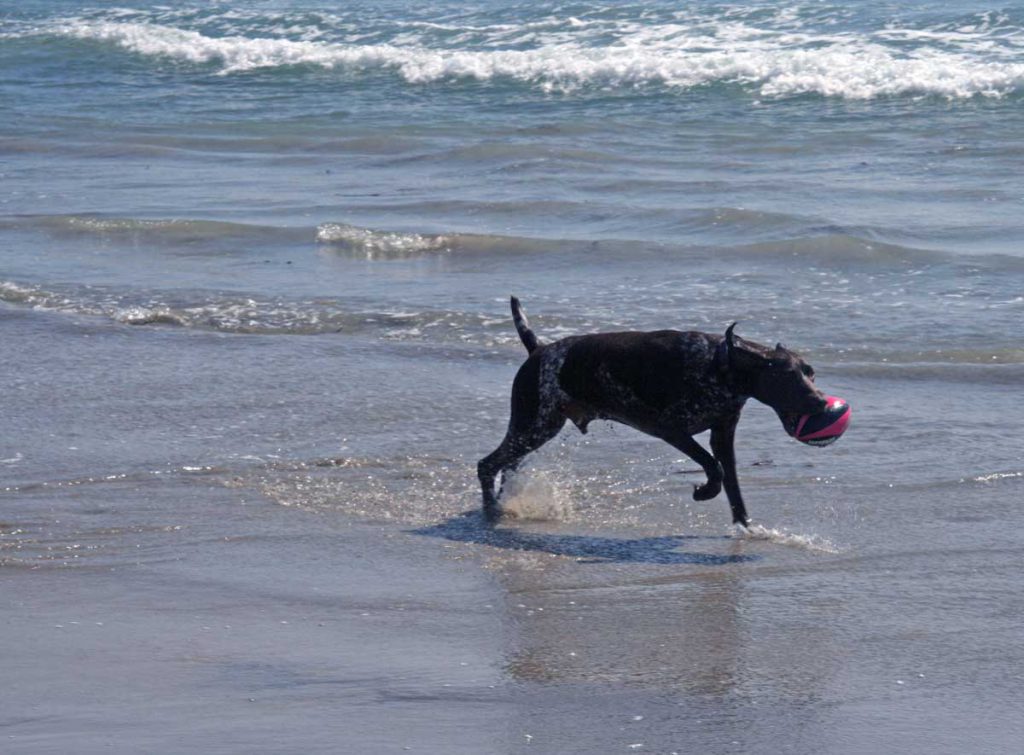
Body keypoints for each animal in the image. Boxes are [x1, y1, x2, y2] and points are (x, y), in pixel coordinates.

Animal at [475, 295, 827, 524]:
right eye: (787, 377)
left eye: (810, 373)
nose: (821, 402)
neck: (721, 364)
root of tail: (539, 349)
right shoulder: (671, 430)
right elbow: (714, 468)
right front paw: (706, 491)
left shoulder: (723, 435)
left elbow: (732, 485)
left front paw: (746, 528)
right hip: (533, 425)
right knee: (486, 464)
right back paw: (492, 511)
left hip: (538, 428)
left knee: (507, 466)